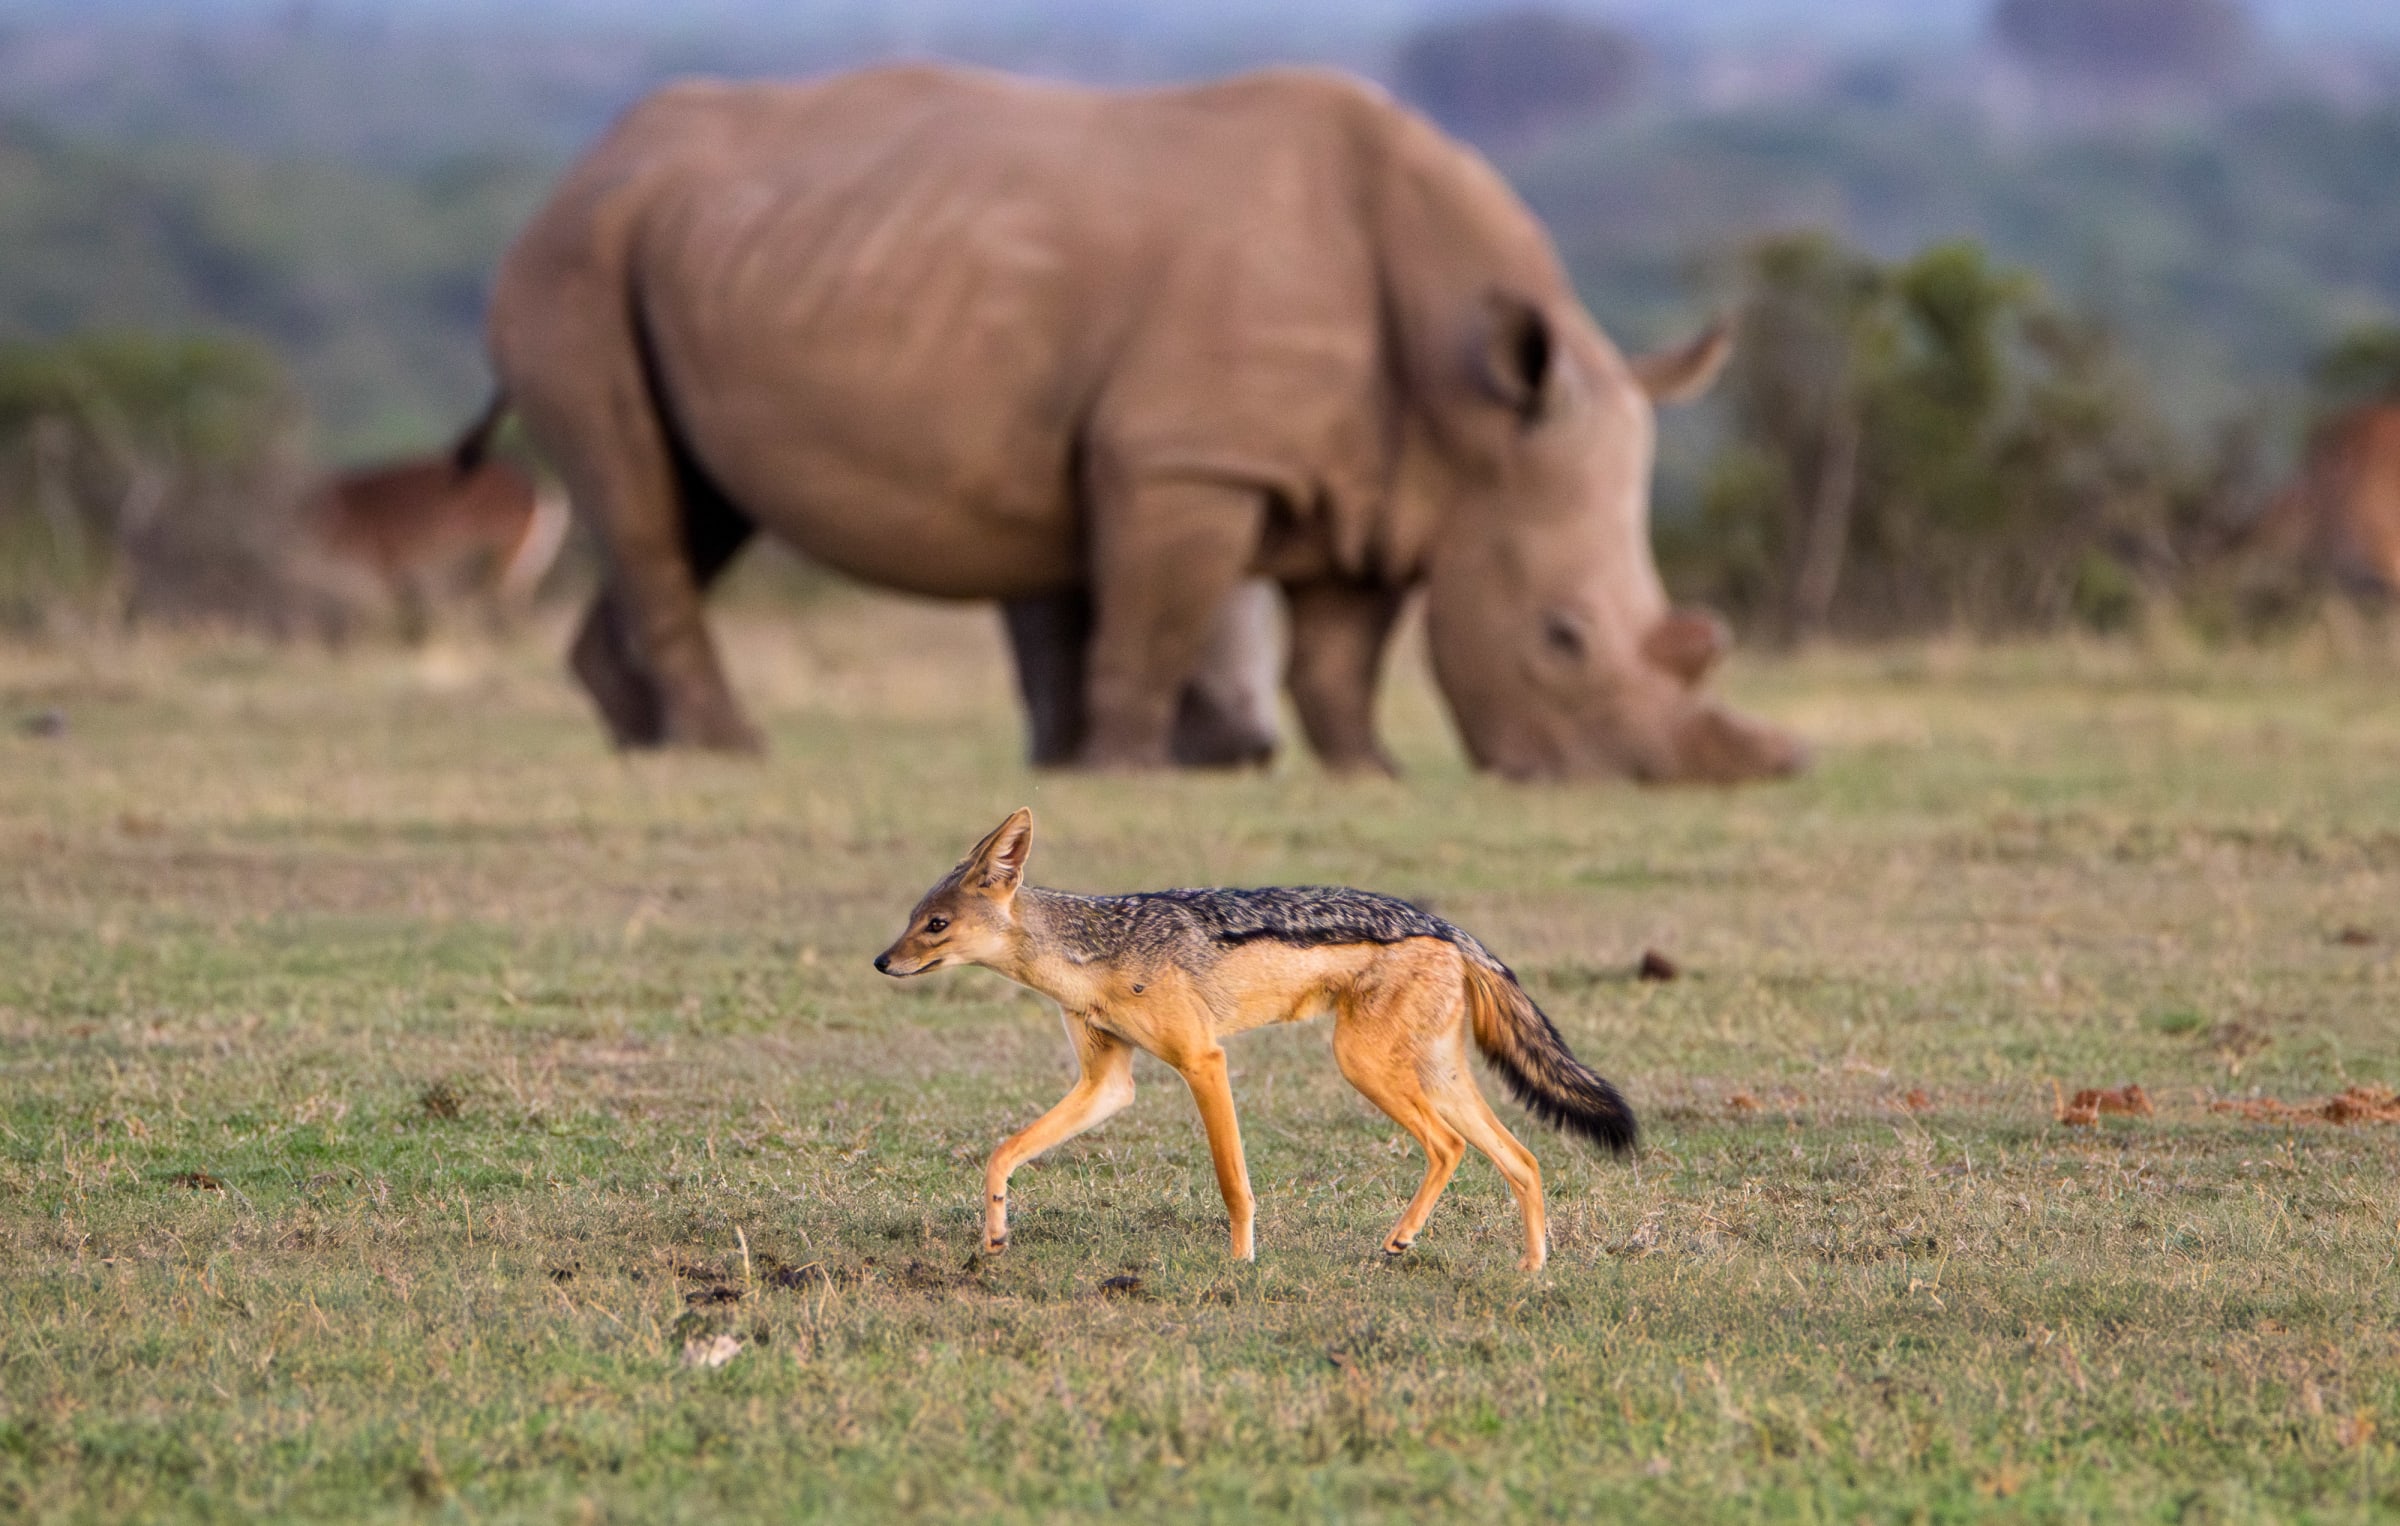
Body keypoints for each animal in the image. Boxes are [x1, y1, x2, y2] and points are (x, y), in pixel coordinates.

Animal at [482, 64, 1804, 781]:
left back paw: (651, 745)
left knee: (690, 504)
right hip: (574, 262)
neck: (1466, 391)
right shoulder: (1187, 462)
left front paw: (1368, 771)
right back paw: (730, 749)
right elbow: (1155, 615)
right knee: (643, 496)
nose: (1642, 781)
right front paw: (1120, 765)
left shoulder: (1384, 485)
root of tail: (586, 158)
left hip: (689, 249)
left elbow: (1343, 647)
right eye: (1564, 636)